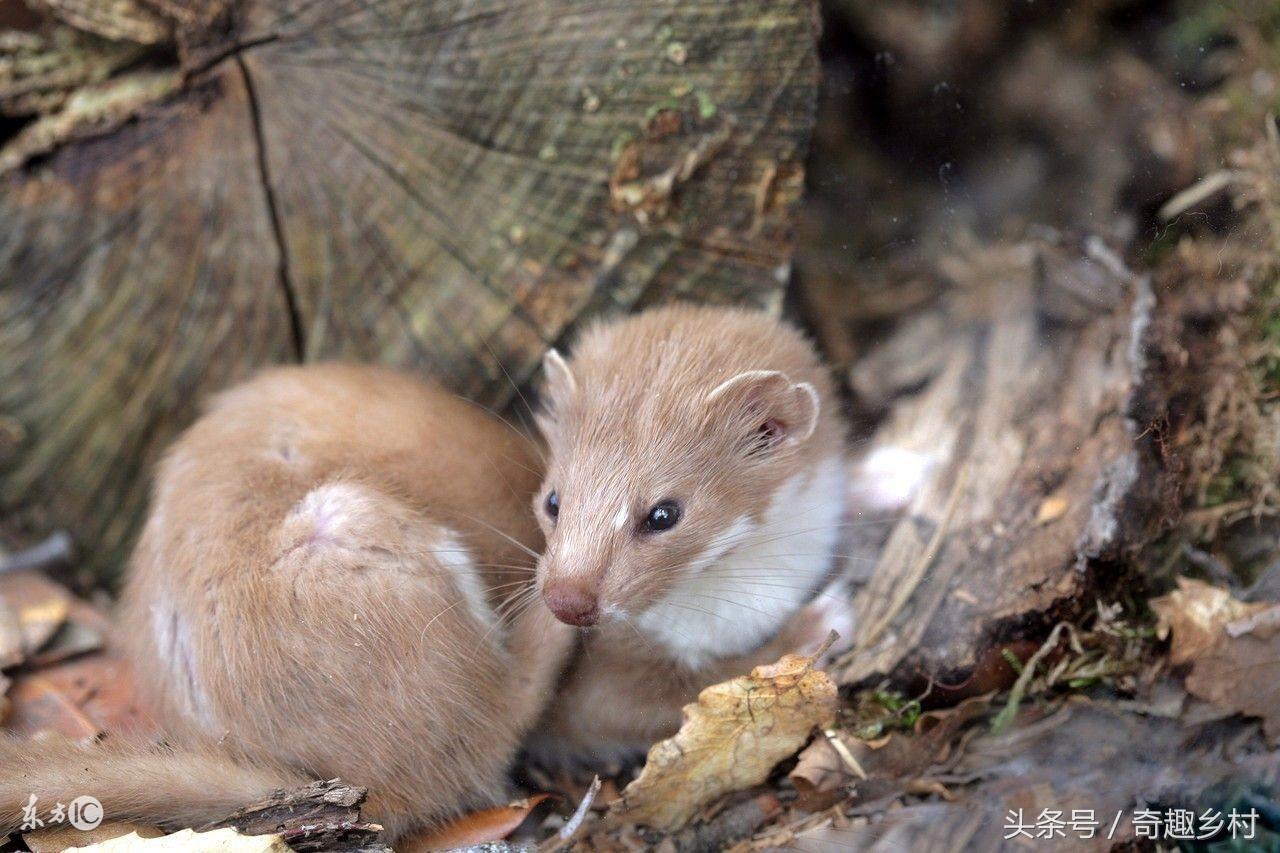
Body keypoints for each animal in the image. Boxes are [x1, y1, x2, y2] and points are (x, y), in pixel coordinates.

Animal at [524, 303, 855, 758]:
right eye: (552, 501)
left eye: (664, 514)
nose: (567, 600)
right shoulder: (599, 684)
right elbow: (702, 686)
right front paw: (818, 621)